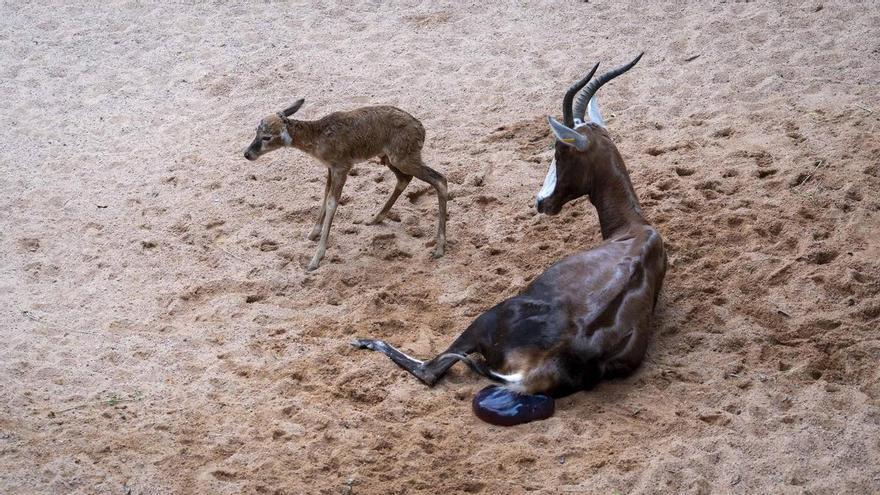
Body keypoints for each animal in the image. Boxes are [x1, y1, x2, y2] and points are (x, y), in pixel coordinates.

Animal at [244, 101, 448, 271]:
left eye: (267, 137)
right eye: (256, 131)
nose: (247, 154)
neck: (318, 138)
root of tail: (421, 129)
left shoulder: (342, 166)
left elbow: (333, 203)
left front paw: (315, 260)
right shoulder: (330, 168)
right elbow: (325, 196)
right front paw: (312, 234)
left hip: (403, 158)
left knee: (440, 180)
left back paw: (439, 248)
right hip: (389, 158)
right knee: (404, 179)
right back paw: (374, 219)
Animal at [353, 54, 667, 426]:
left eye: (559, 151)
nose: (541, 202)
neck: (635, 232)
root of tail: (550, 364)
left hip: (486, 319)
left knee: (429, 370)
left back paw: (364, 340)